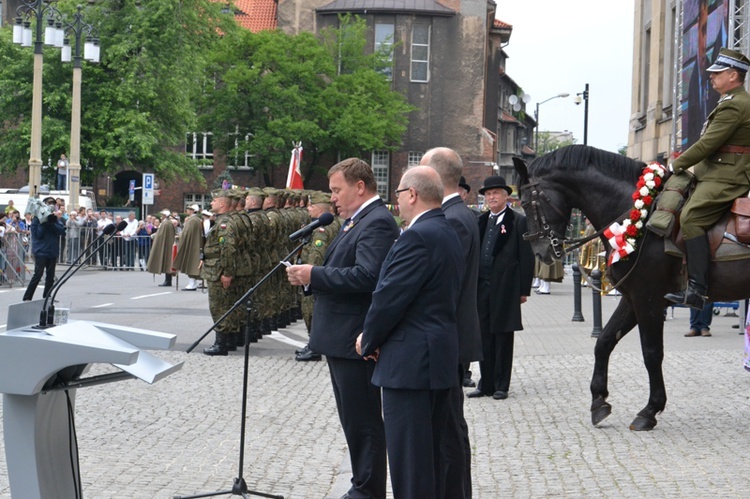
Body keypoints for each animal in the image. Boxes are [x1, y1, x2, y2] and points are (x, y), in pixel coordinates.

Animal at [516, 144, 750, 430]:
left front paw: (650, 410)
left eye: (525, 203)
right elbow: (604, 341)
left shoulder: (648, 299)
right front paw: (598, 401)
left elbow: (651, 353)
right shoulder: (631, 298)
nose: (541, 253)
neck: (639, 213)